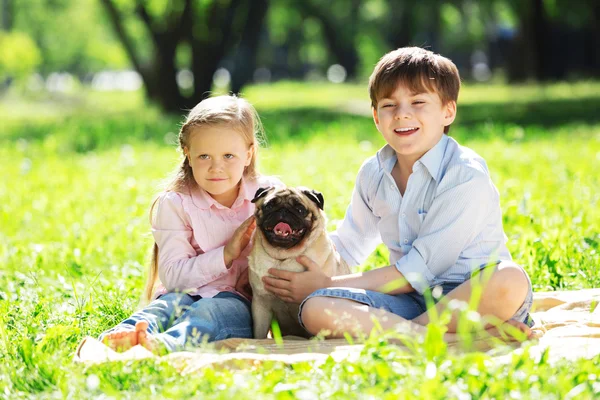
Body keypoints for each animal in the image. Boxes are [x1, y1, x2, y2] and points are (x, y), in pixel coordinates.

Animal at [248, 186, 352, 340]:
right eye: (269, 206)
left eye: (300, 209)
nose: (283, 210)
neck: (283, 258)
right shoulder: (261, 304)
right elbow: (259, 335)